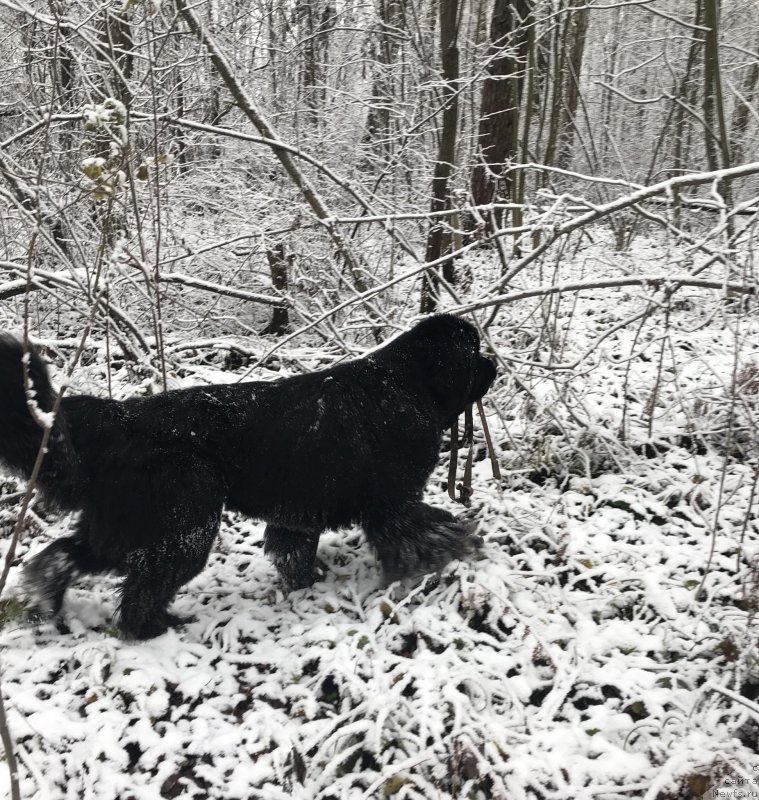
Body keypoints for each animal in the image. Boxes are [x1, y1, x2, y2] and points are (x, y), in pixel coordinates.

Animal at [0, 316, 498, 640]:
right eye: (474, 351)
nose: (493, 363)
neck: (413, 384)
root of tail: (123, 419)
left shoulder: (300, 511)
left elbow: (294, 552)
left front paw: (306, 583)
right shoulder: (394, 504)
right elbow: (429, 532)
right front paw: (460, 552)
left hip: (128, 522)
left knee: (67, 553)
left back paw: (44, 596)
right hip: (181, 526)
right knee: (144, 586)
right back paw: (154, 629)